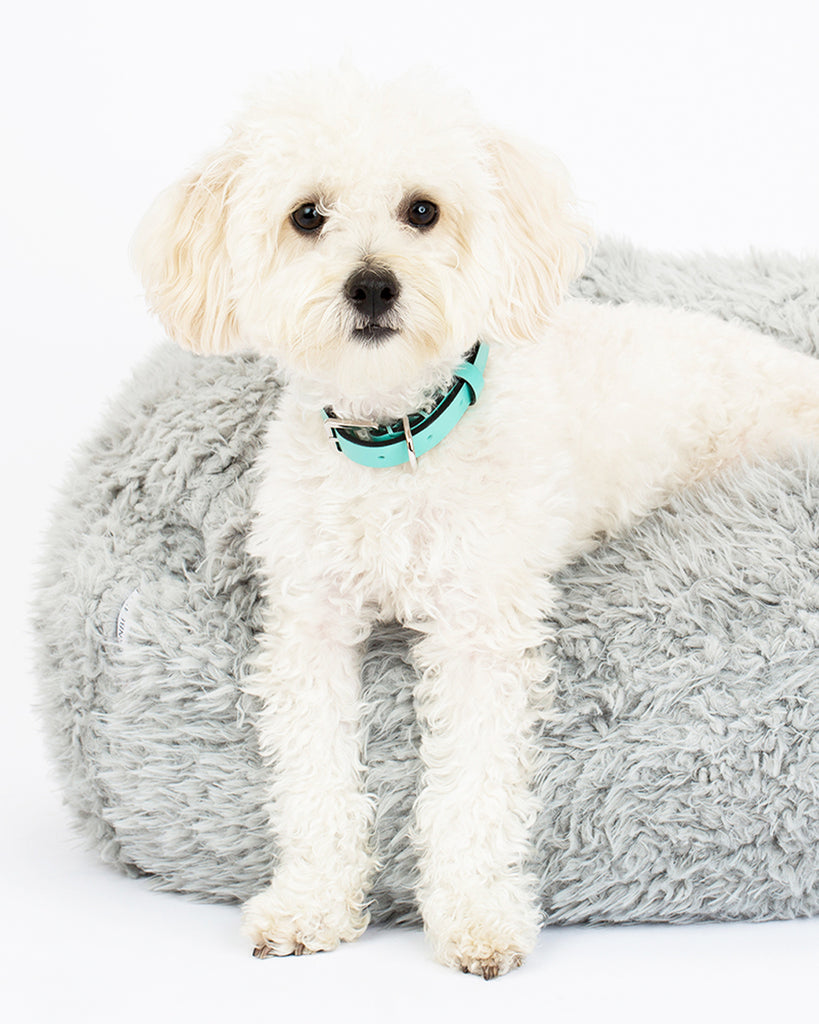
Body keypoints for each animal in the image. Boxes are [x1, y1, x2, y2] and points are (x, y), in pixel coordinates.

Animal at [133, 64, 818, 974]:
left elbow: (473, 786)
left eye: (422, 210)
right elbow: (313, 777)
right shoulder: (309, 629)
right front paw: (311, 902)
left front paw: (476, 915)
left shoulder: (478, 631)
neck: (395, 444)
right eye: (307, 216)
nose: (372, 284)